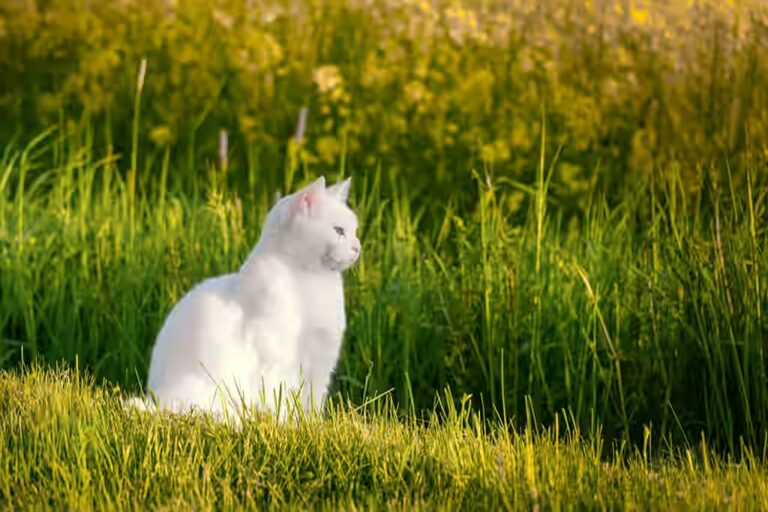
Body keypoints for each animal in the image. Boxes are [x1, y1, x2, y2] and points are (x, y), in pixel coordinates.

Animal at [129, 178, 360, 418]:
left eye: (355, 231)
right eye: (339, 231)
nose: (357, 247)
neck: (311, 283)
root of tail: (158, 400)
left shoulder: (321, 360)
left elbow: (311, 404)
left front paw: (309, 424)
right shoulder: (278, 361)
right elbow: (282, 401)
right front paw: (285, 424)